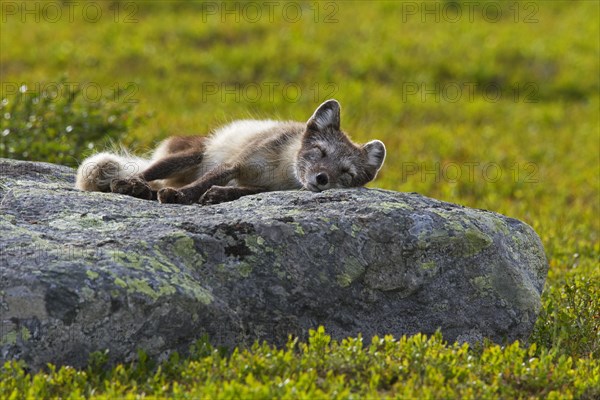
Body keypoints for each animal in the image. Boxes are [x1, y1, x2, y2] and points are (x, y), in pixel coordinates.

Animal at [76, 100, 384, 206]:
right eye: (320, 152)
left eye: (346, 173)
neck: (280, 170)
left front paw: (217, 195)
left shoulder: (266, 188)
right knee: (150, 172)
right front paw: (180, 196)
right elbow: (209, 178)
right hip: (190, 155)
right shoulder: (237, 163)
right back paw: (132, 184)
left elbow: (240, 191)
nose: (321, 179)